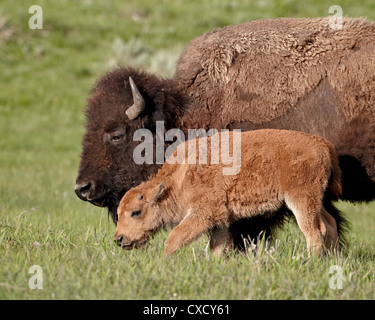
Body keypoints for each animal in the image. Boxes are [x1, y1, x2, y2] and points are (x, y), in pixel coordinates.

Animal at [114, 129, 340, 256]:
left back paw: (311, 262)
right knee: (329, 224)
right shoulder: (220, 221)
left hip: (301, 200)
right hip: (315, 201)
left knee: (314, 232)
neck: (180, 176)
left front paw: (161, 264)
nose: (118, 239)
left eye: (136, 212)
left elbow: (174, 238)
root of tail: (322, 144)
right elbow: (217, 246)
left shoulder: (202, 213)